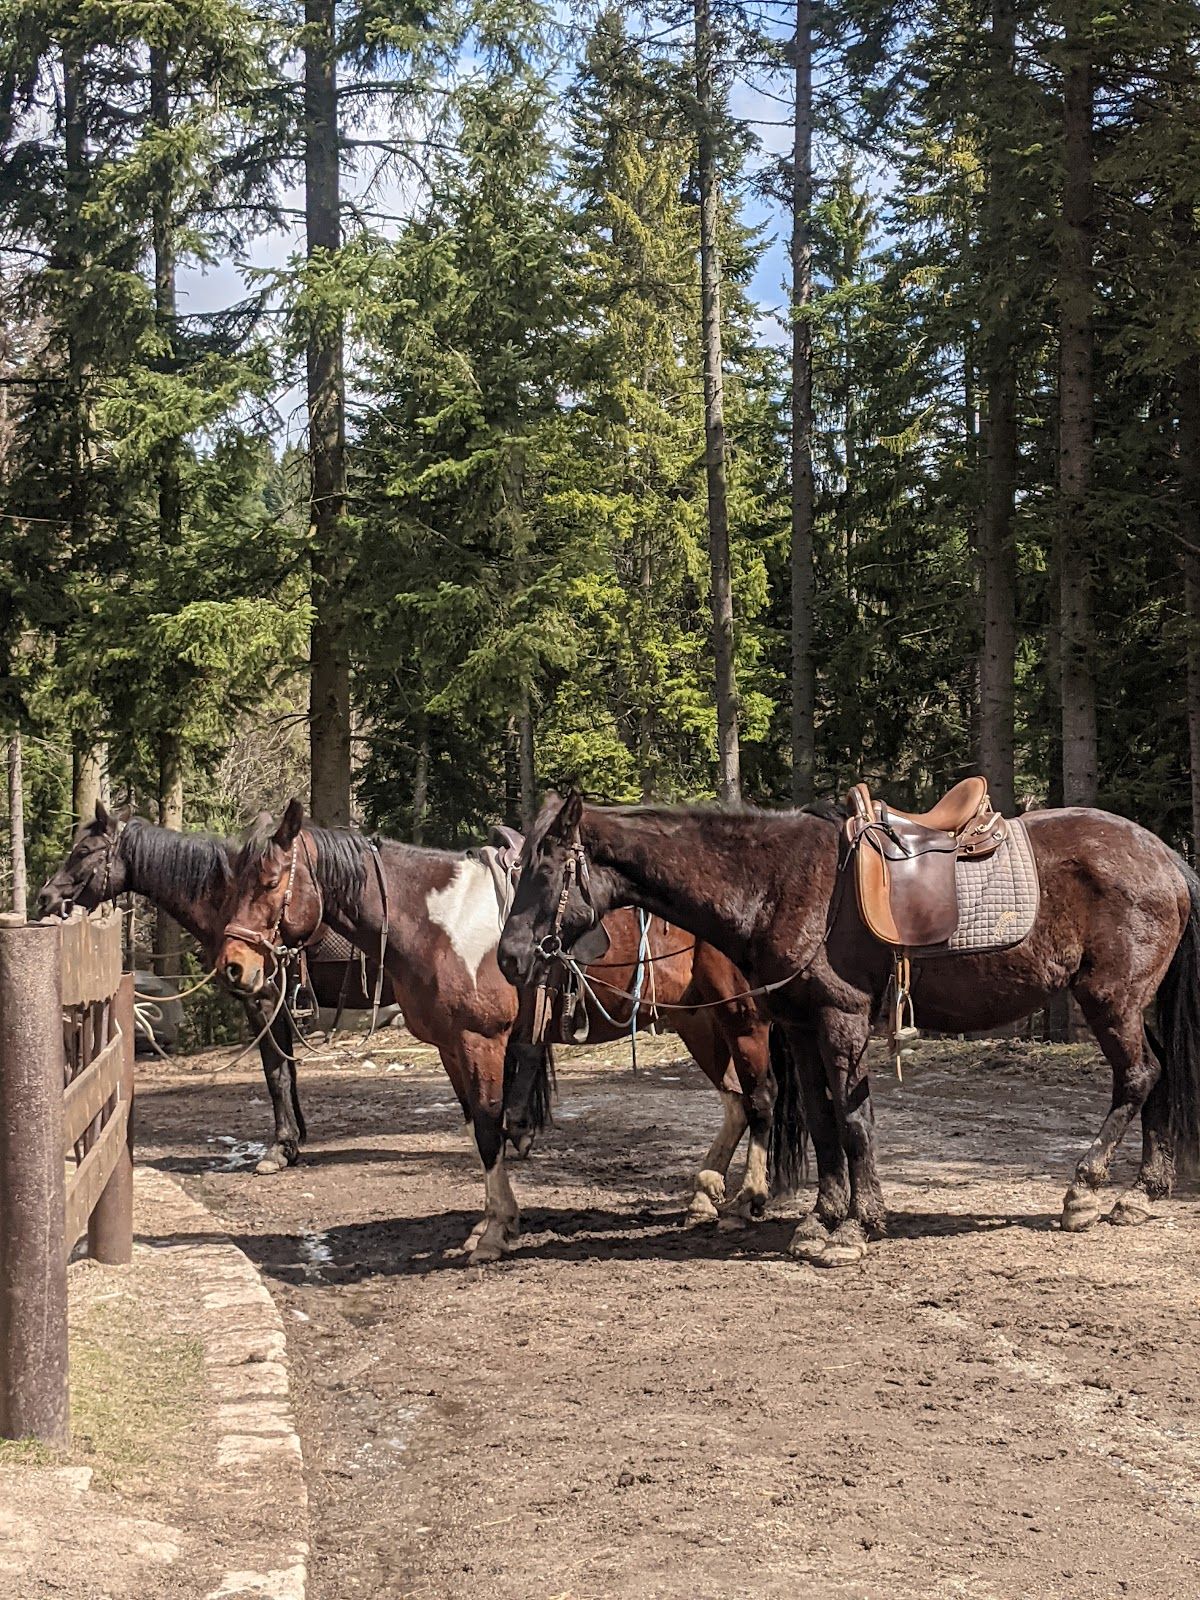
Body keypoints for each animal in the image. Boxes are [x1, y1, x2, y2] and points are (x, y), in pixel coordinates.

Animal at [36, 803, 394, 1175]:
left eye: (83, 851)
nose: (45, 897)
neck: (230, 904)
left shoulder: (261, 1002)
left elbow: (276, 1074)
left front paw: (281, 1148)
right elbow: (287, 1070)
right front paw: (293, 1142)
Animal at [215, 799, 794, 1262]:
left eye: (271, 883)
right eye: (233, 884)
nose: (234, 967)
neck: (435, 923)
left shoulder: (482, 1042)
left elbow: (491, 1127)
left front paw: (495, 1233)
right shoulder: (451, 1049)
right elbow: (477, 1127)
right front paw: (492, 1222)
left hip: (743, 1018)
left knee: (761, 1097)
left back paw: (746, 1201)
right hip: (699, 1020)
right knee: (735, 1101)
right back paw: (702, 1196)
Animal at [497, 790, 1200, 1268]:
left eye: (546, 869)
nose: (508, 957)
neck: (779, 884)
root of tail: (1164, 855)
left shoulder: (841, 1018)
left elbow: (854, 1118)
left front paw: (860, 1225)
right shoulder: (800, 1025)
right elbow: (818, 1114)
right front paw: (823, 1219)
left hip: (1110, 1000)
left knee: (1138, 1077)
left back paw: (1086, 1189)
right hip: (1129, 1005)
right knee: (1158, 1074)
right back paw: (1142, 1193)